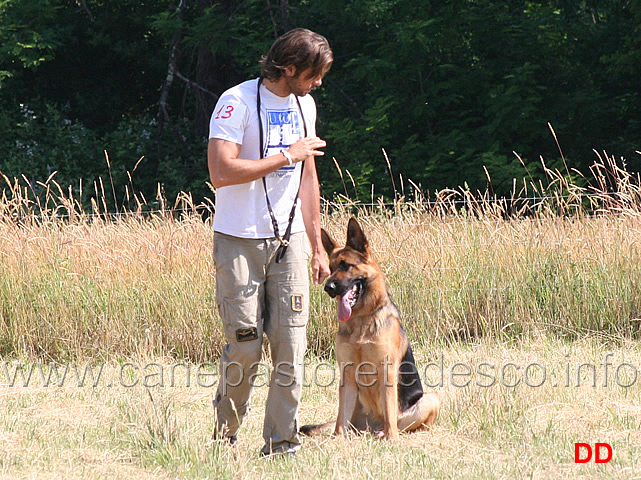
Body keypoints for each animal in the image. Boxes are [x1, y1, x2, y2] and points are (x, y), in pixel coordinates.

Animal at [300, 219, 436, 440]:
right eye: (331, 268)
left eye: (346, 265)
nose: (328, 288)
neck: (361, 320)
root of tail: (372, 428)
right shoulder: (346, 375)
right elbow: (340, 417)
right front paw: (338, 440)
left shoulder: (387, 371)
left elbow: (389, 408)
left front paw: (393, 440)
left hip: (431, 399)